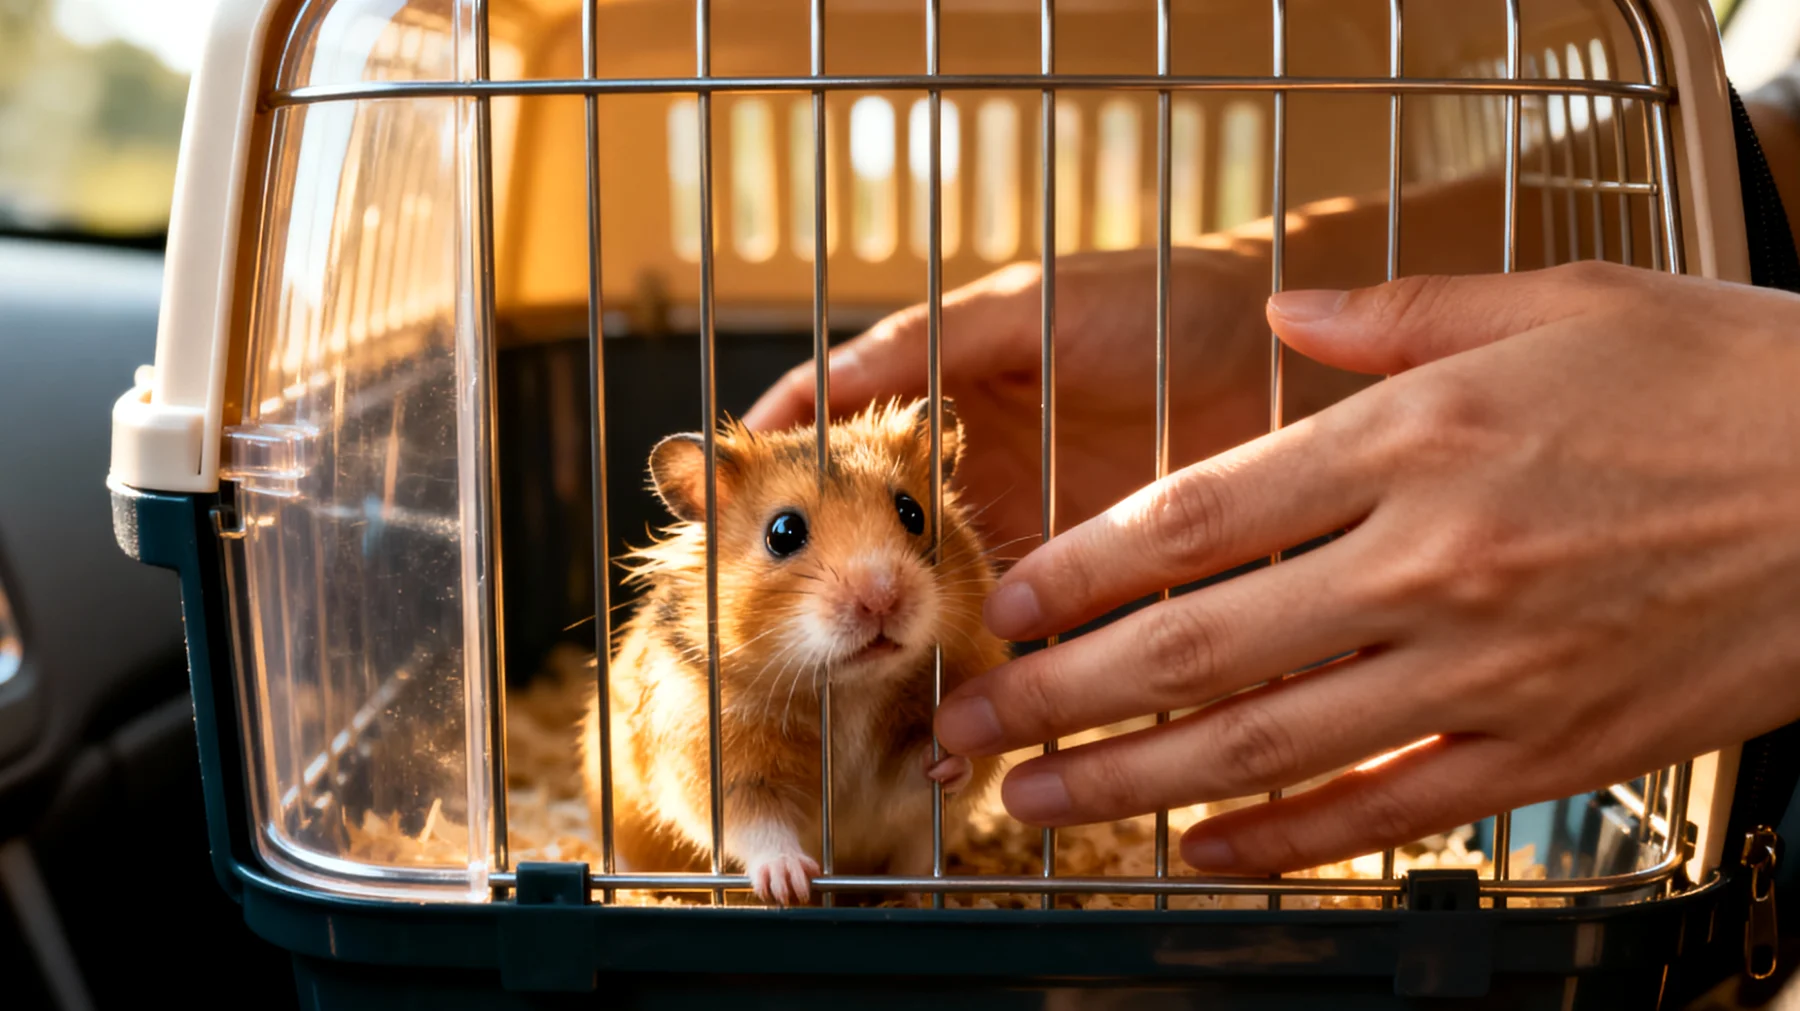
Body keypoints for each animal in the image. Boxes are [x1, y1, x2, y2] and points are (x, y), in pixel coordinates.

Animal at [579, 397, 1008, 906]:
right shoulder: (719, 766)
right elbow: (759, 826)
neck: (850, 690)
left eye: (912, 512)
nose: (882, 598)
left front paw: (945, 762)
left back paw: (912, 898)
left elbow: (929, 777)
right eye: (783, 532)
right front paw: (790, 884)